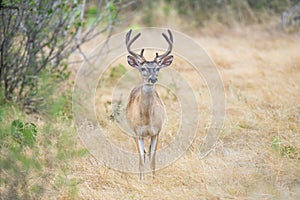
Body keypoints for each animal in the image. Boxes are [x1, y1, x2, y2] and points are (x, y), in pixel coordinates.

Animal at [125, 28, 173, 180]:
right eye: (143, 68)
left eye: (158, 68)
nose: (153, 78)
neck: (146, 118)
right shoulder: (137, 133)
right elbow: (141, 160)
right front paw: (141, 180)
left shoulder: (156, 132)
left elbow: (153, 159)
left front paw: (153, 179)